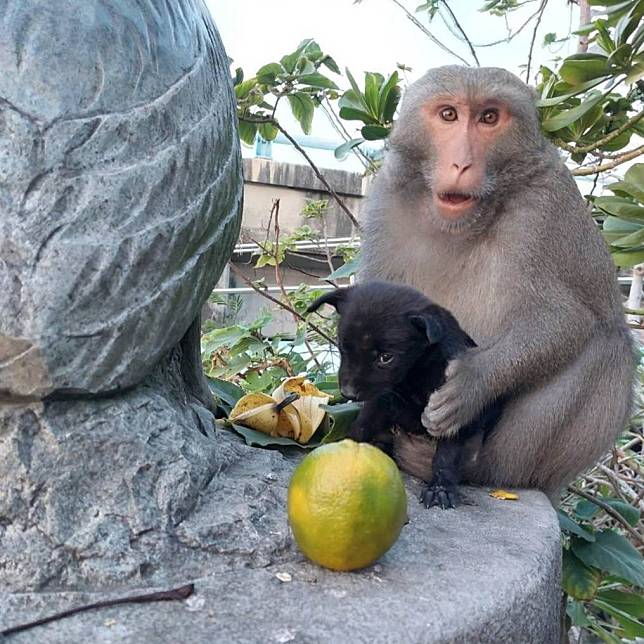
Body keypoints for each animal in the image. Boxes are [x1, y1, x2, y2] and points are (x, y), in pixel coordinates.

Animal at [306, 280, 504, 508]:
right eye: (343, 346)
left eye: (386, 357)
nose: (348, 393)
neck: (414, 372)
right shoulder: (382, 399)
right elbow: (363, 424)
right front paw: (347, 447)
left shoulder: (451, 408)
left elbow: (448, 453)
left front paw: (440, 488)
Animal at [360, 65, 636, 500]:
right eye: (449, 115)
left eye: (489, 118)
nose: (461, 164)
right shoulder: (386, 196)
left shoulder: (542, 207)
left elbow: (563, 319)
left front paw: (471, 384)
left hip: (519, 456)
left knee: (607, 348)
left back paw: (474, 467)